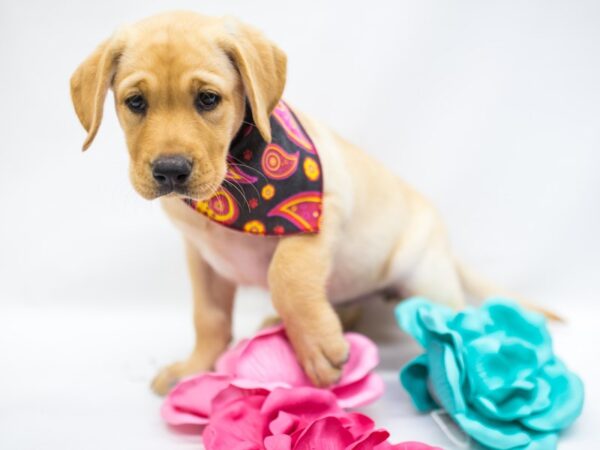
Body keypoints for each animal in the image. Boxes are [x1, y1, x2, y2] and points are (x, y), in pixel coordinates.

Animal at [69, 11, 544, 394]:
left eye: (208, 99)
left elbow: (287, 277)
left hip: (428, 282)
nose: (170, 171)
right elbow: (209, 317)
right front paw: (195, 369)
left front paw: (316, 348)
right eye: (135, 102)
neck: (230, 186)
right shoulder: (201, 257)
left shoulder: (319, 213)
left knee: (456, 321)